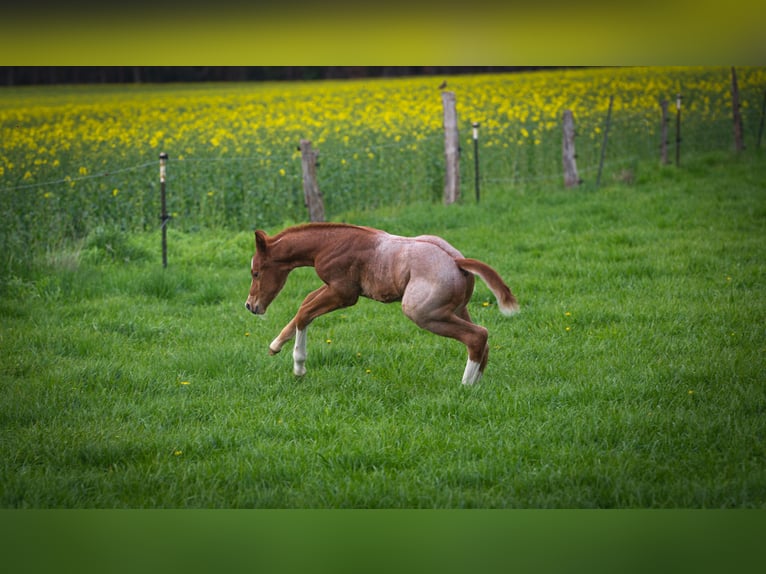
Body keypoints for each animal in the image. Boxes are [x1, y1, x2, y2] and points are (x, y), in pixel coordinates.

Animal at [245, 223, 519, 385]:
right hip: (457, 310)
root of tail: (457, 261)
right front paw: (275, 345)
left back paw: (465, 387)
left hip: (423, 313)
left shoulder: (344, 293)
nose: (250, 306)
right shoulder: (333, 287)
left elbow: (305, 313)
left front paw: (299, 367)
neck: (330, 243)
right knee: (483, 342)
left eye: (256, 273)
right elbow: (305, 304)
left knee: (477, 336)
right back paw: (476, 385)